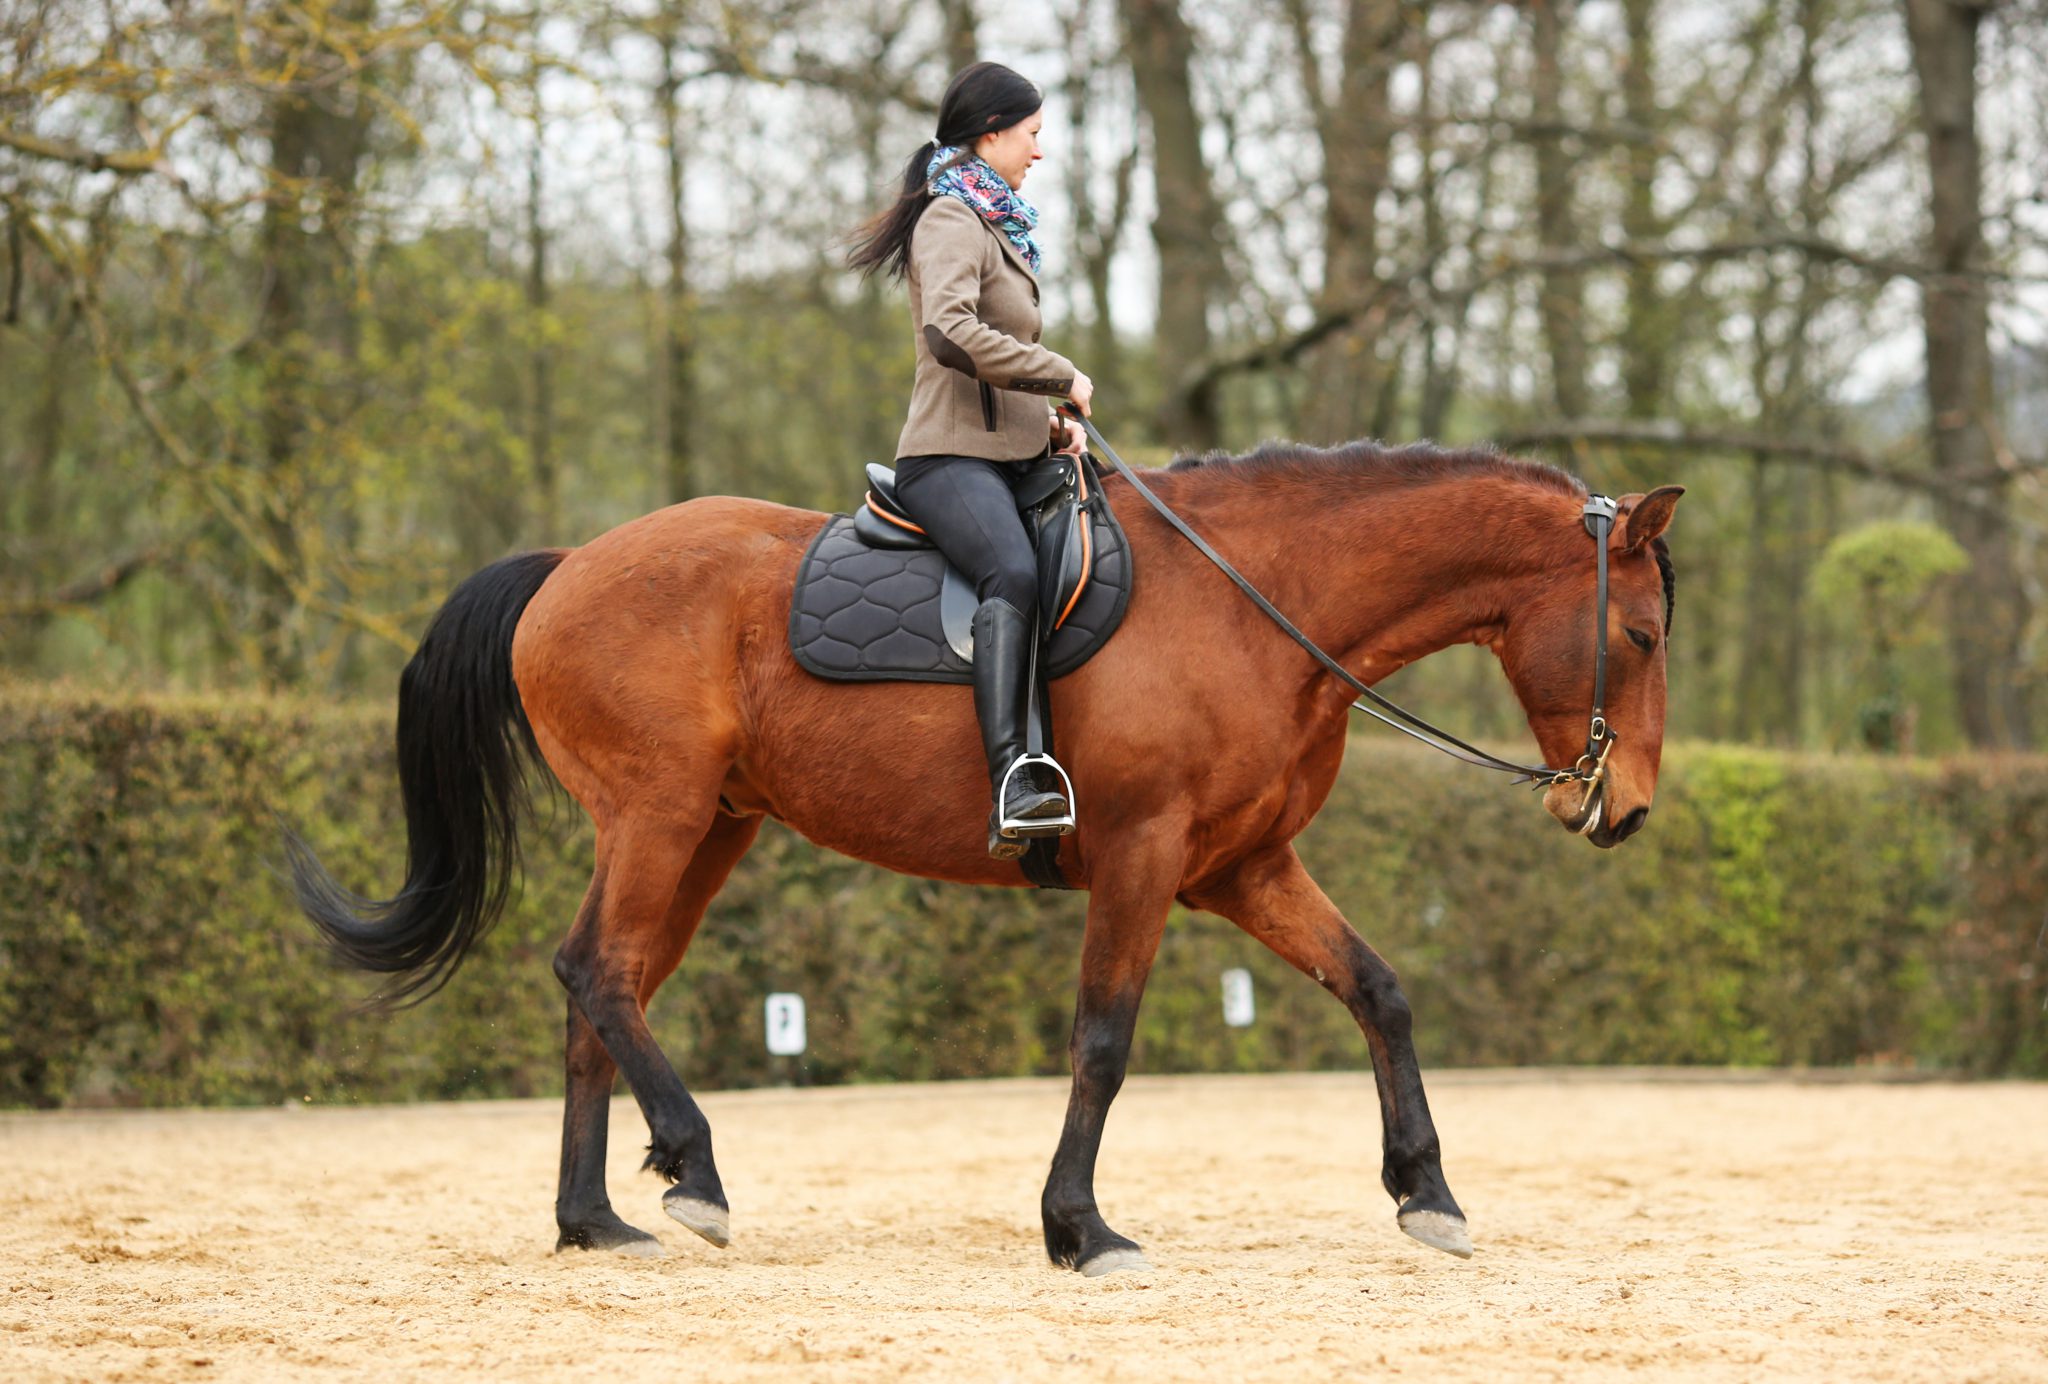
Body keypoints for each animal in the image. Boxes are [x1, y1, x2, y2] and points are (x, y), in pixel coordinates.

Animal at [296, 440, 1687, 1277]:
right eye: (1638, 631)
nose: (1622, 810)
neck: (1255, 605)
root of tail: (567, 567)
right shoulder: (1142, 858)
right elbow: (1103, 1041)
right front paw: (1078, 1228)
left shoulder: (1240, 867)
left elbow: (1379, 991)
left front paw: (1425, 1194)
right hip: (659, 814)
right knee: (595, 970)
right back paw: (693, 1167)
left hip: (706, 828)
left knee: (611, 980)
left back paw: (597, 1219)